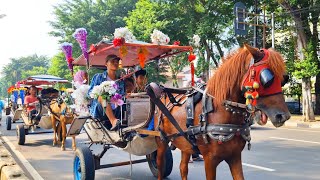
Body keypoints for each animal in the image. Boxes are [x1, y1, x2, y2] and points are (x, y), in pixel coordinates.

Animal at [154, 44, 292, 179]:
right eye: (267, 80)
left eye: (283, 79)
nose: (283, 116)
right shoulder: (209, 160)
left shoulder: (235, 156)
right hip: (161, 141)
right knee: (160, 166)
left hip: (185, 144)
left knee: (183, 168)